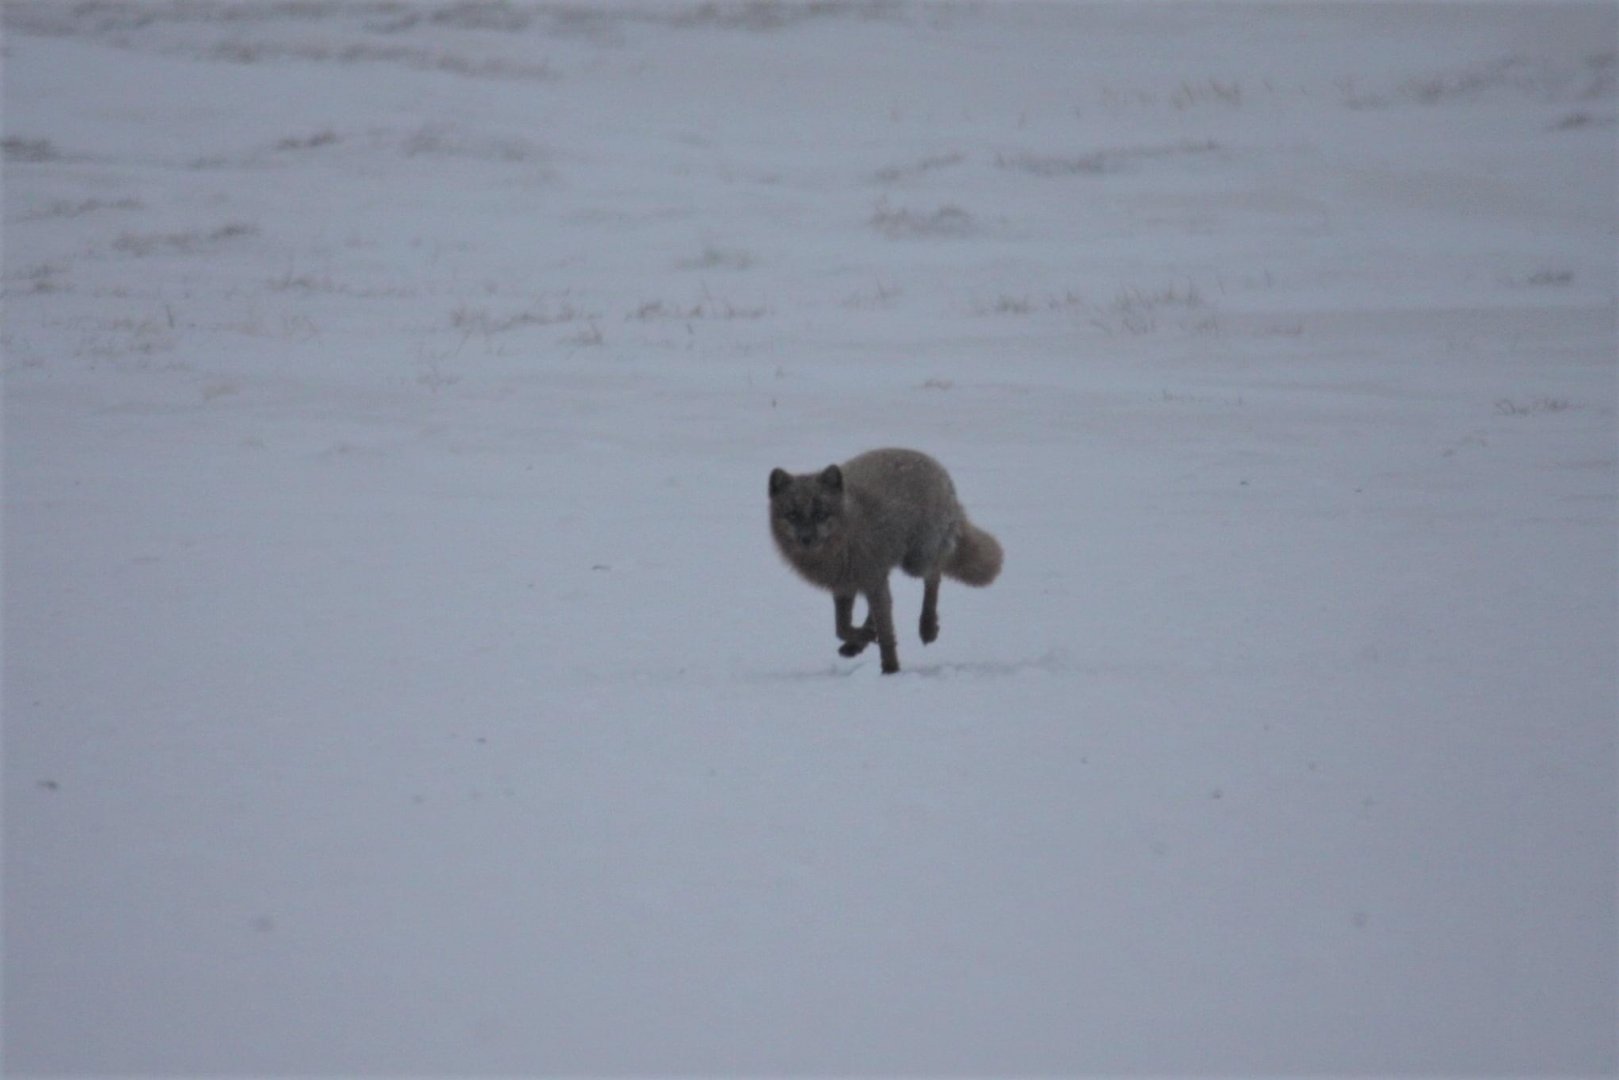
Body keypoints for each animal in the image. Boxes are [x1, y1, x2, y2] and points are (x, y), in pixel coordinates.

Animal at [768, 447, 1002, 674]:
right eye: (792, 515)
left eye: (820, 514)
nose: (806, 538)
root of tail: (938, 468)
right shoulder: (845, 585)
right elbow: (842, 628)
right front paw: (863, 637)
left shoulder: (870, 580)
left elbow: (886, 634)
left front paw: (890, 670)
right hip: (885, 572)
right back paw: (858, 643)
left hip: (915, 562)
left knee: (935, 574)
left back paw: (927, 627)